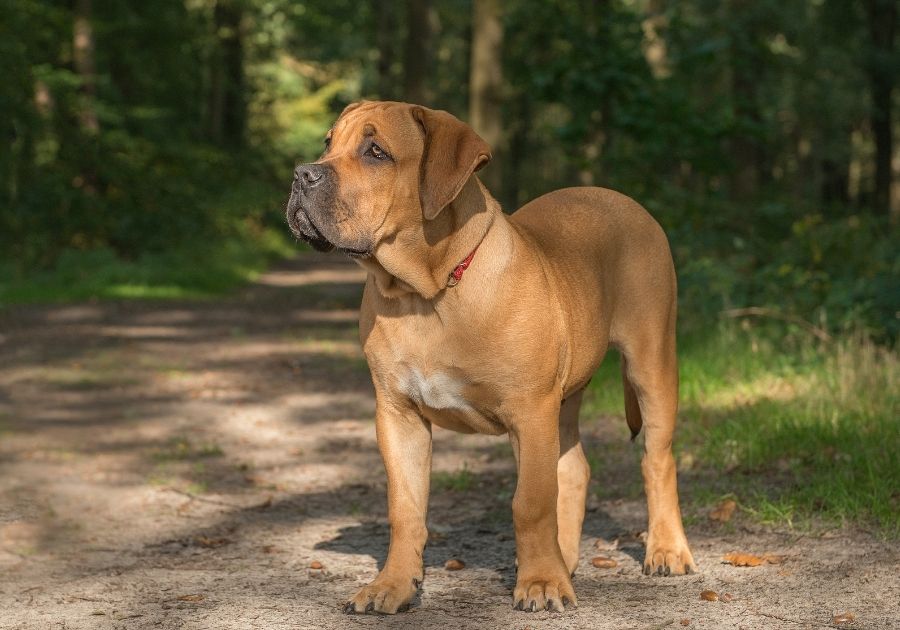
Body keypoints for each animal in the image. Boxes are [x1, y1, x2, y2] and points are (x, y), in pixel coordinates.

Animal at [286, 102, 696, 616]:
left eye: (376, 151)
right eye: (327, 144)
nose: (301, 173)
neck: (426, 293)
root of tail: (623, 200)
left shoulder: (530, 411)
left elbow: (530, 503)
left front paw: (539, 583)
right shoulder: (397, 415)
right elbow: (405, 508)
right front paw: (392, 585)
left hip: (650, 362)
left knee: (657, 460)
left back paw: (665, 551)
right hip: (565, 400)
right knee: (573, 468)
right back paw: (566, 560)